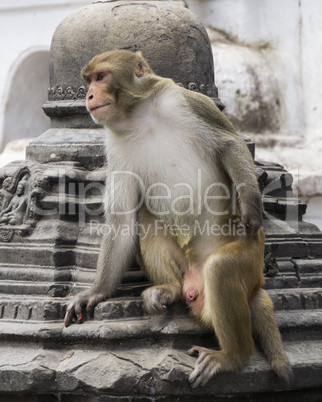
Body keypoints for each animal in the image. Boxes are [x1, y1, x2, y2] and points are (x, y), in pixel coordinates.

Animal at [64, 49, 290, 386]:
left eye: (101, 77)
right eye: (88, 81)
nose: (89, 95)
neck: (139, 116)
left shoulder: (185, 100)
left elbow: (230, 143)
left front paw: (250, 204)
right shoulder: (114, 146)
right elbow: (122, 221)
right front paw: (97, 292)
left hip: (250, 260)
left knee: (222, 268)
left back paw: (232, 357)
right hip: (186, 269)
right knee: (145, 216)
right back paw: (168, 288)